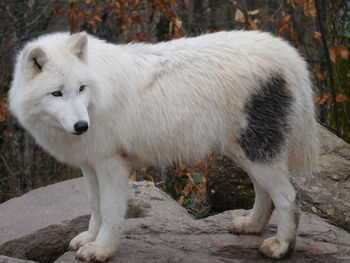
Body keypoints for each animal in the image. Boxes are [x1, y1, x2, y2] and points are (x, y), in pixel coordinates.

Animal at [8, 31, 320, 262]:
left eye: (81, 88)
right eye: (57, 93)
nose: (82, 126)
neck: (97, 95)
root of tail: (289, 54)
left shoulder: (111, 164)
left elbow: (109, 210)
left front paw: (101, 249)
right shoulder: (90, 163)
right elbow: (95, 207)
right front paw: (89, 238)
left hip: (256, 154)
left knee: (288, 197)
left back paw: (280, 247)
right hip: (245, 154)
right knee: (264, 192)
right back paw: (251, 226)